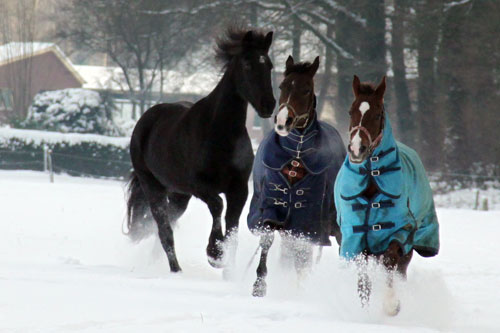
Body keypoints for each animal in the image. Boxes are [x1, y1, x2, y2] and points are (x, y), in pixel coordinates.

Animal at [124, 27, 274, 272]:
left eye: (269, 65)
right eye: (247, 64)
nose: (268, 105)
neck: (221, 134)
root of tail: (146, 119)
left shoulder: (239, 189)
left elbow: (232, 228)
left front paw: (227, 267)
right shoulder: (201, 187)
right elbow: (217, 206)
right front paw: (215, 253)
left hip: (179, 195)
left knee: (167, 227)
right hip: (153, 187)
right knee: (165, 231)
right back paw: (176, 271)